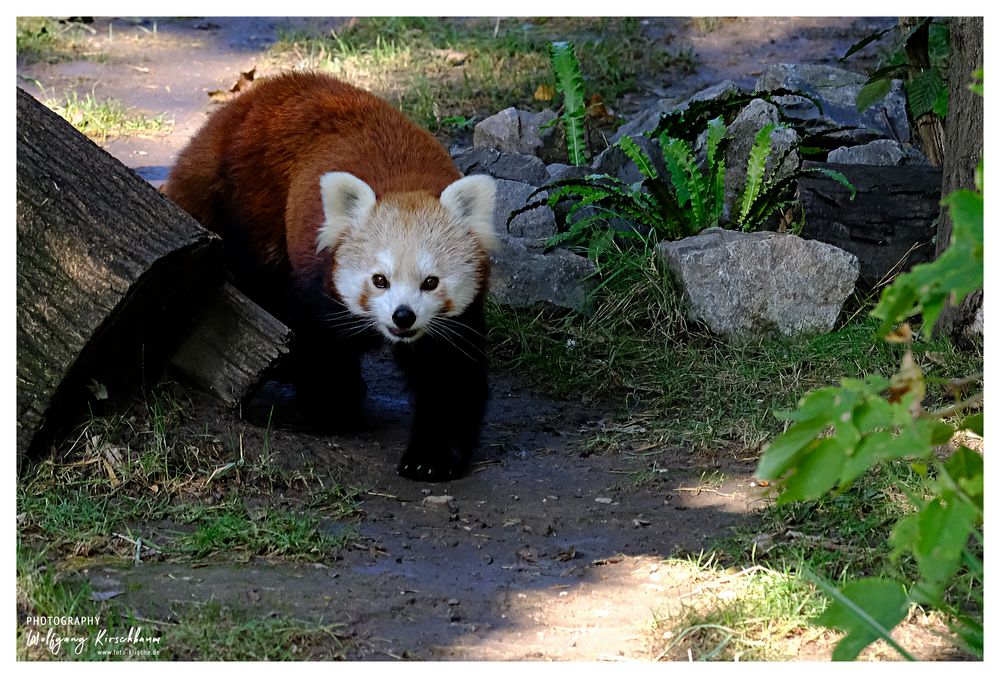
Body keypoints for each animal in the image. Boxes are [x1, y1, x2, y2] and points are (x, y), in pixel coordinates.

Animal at [163, 71, 500, 480]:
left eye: (430, 282)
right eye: (379, 279)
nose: (403, 316)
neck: (404, 184)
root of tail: (241, 107)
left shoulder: (454, 322)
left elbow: (449, 378)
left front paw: (431, 458)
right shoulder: (317, 285)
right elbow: (317, 343)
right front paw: (334, 408)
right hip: (252, 207)